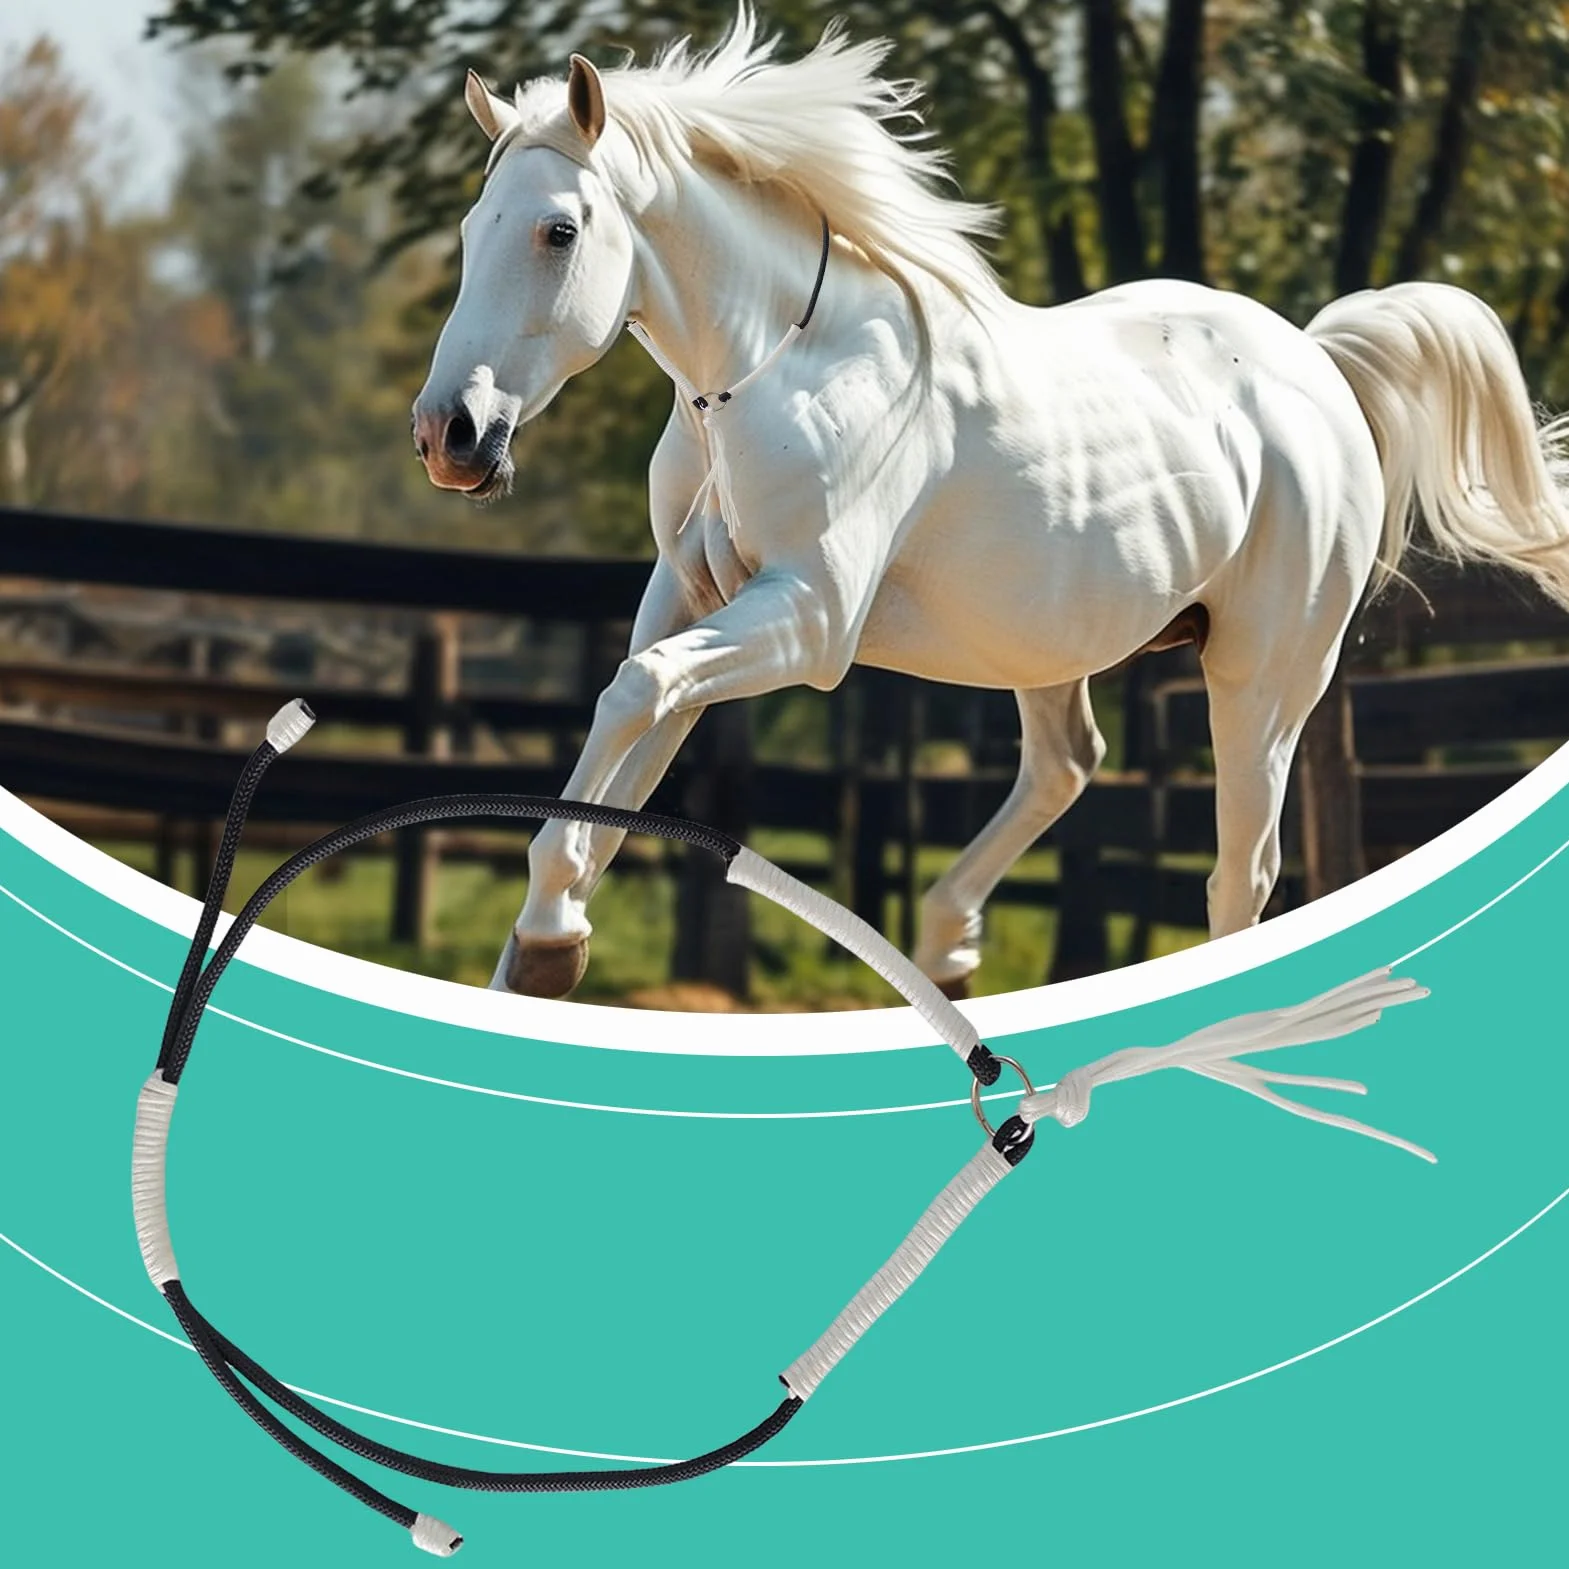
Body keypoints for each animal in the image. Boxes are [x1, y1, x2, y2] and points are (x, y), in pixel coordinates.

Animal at [411, 7, 1569, 1002]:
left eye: (559, 232)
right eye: (470, 227)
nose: (450, 436)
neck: (773, 373)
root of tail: (1319, 366)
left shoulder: (811, 621)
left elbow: (634, 694)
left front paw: (550, 938)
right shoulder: (691, 598)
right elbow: (623, 743)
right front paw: (542, 953)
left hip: (1264, 677)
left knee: (1238, 872)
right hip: (1047, 642)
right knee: (1067, 766)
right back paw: (944, 948)